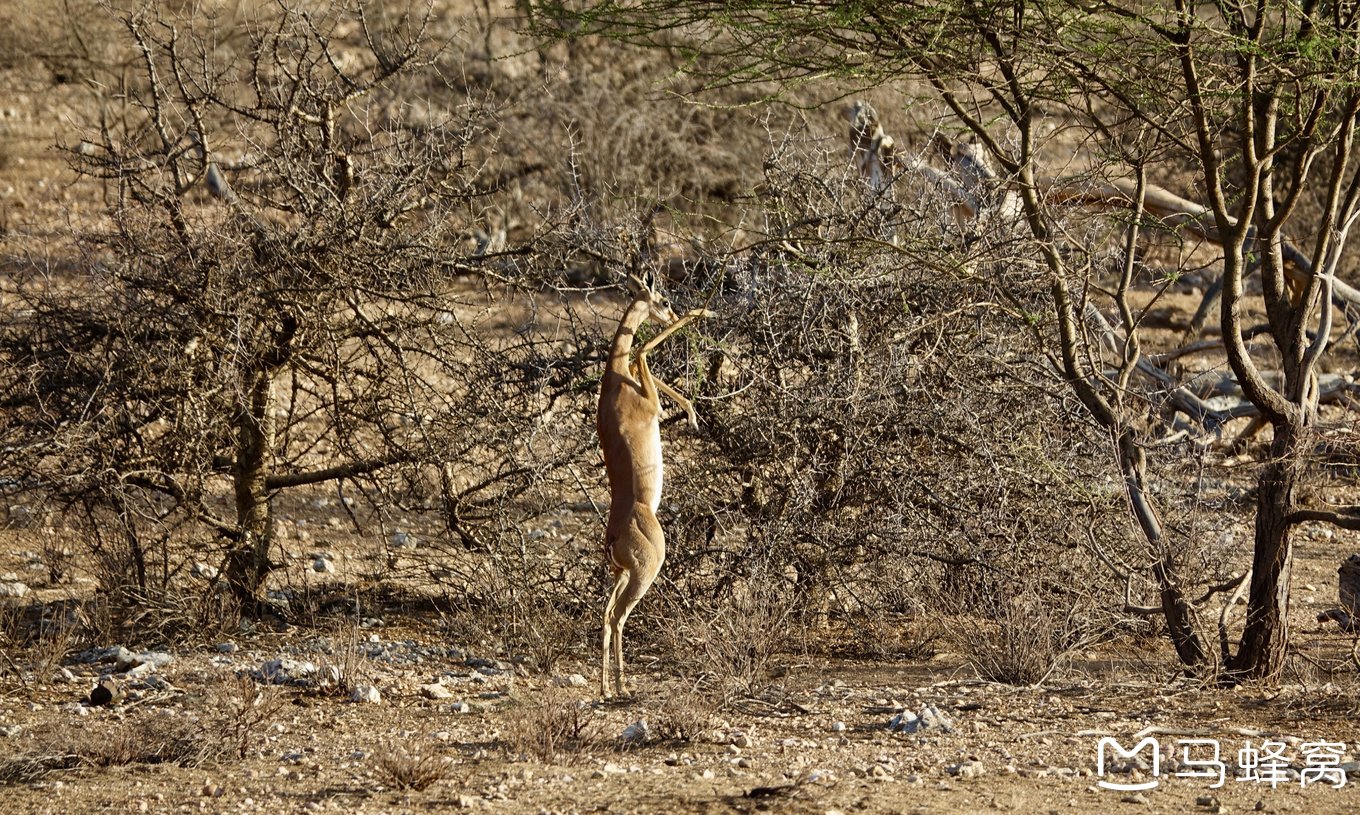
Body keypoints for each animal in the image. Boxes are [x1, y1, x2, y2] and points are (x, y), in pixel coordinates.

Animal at [601, 277, 718, 696]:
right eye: (663, 299)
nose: (670, 310)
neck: (613, 380)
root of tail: (614, 536)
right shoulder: (650, 402)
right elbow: (642, 349)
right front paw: (705, 311)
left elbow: (640, 357)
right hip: (643, 572)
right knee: (618, 616)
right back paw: (624, 687)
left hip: (620, 574)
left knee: (604, 615)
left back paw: (605, 689)